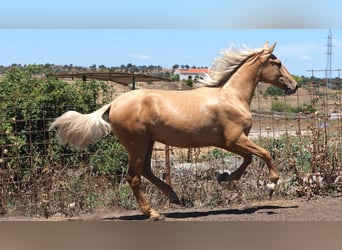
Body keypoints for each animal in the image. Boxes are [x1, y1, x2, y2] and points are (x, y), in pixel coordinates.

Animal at [49, 42, 298, 220]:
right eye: (277, 62)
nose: (294, 85)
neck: (232, 97)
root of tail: (114, 103)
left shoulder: (230, 142)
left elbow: (249, 159)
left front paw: (225, 177)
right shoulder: (234, 139)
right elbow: (264, 154)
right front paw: (270, 185)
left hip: (148, 142)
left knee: (146, 170)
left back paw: (174, 197)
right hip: (137, 143)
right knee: (134, 177)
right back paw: (154, 213)